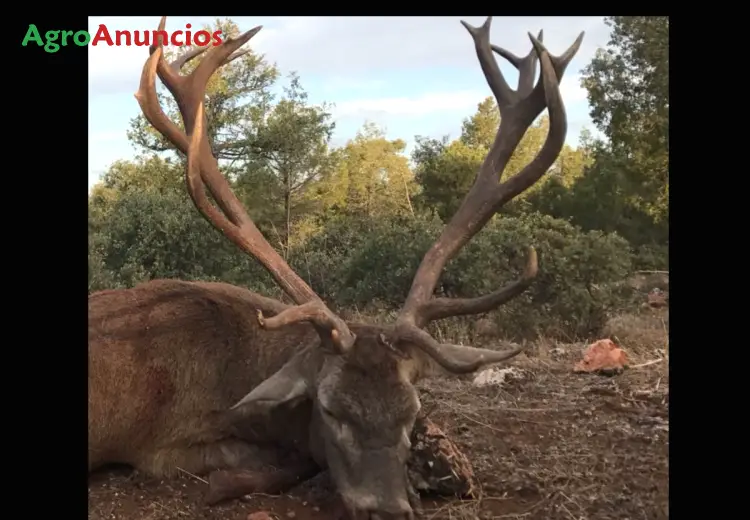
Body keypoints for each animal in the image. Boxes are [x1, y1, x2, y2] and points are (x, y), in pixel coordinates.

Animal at [86, 16, 580, 520]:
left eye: (410, 412)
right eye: (330, 410)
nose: (386, 509)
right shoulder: (164, 448)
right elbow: (291, 462)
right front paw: (227, 483)